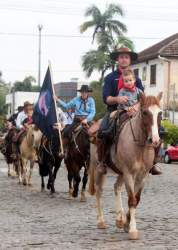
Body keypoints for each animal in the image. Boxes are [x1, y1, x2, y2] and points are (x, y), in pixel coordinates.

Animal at [89, 93, 163, 239]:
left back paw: (119, 219)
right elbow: (132, 200)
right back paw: (101, 221)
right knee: (99, 191)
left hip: (120, 172)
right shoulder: (129, 174)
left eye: (160, 113)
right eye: (145, 112)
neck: (140, 146)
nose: (155, 140)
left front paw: (127, 223)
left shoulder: (142, 176)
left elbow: (136, 199)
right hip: (99, 169)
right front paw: (133, 230)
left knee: (116, 187)